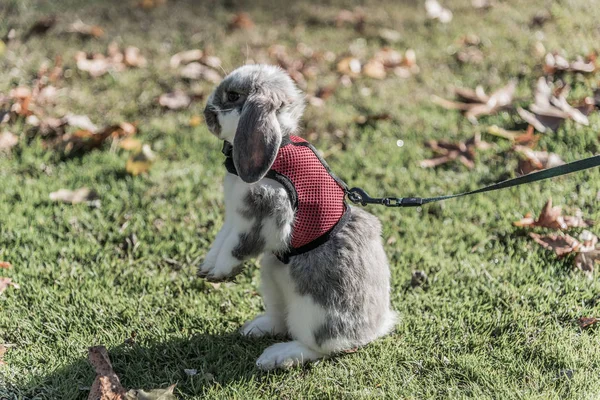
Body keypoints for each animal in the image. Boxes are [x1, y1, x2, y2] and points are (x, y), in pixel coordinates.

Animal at [202, 64, 396, 370]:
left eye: (233, 96)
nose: (206, 114)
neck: (279, 148)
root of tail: (375, 328)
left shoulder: (265, 214)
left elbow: (236, 247)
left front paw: (221, 273)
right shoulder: (233, 217)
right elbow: (221, 241)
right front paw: (207, 269)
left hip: (313, 313)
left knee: (320, 346)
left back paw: (277, 356)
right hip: (272, 274)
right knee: (280, 319)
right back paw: (256, 329)